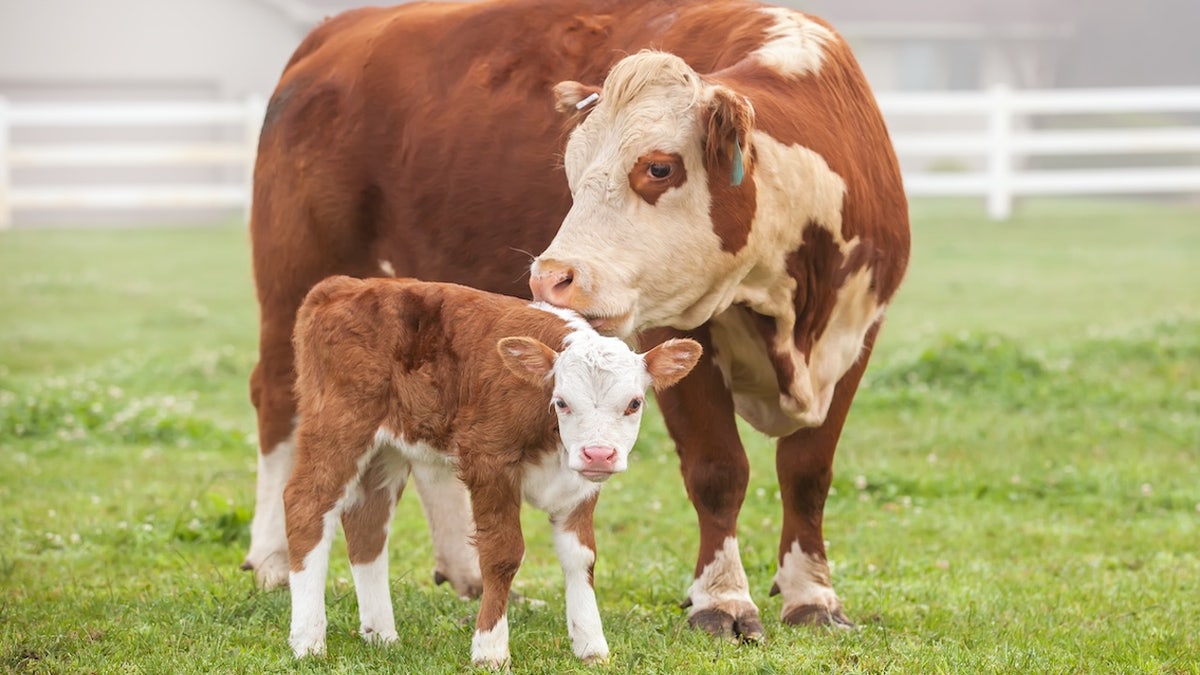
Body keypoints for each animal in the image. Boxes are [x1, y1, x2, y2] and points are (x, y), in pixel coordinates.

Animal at [285, 275, 701, 666]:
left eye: (634, 403)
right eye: (562, 402)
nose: (598, 454)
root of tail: (345, 285)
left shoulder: (578, 484)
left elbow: (582, 557)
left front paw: (591, 646)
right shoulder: (488, 460)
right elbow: (503, 554)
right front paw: (490, 649)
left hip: (386, 450)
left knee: (367, 523)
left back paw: (382, 635)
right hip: (338, 425)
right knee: (306, 506)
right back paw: (308, 640)